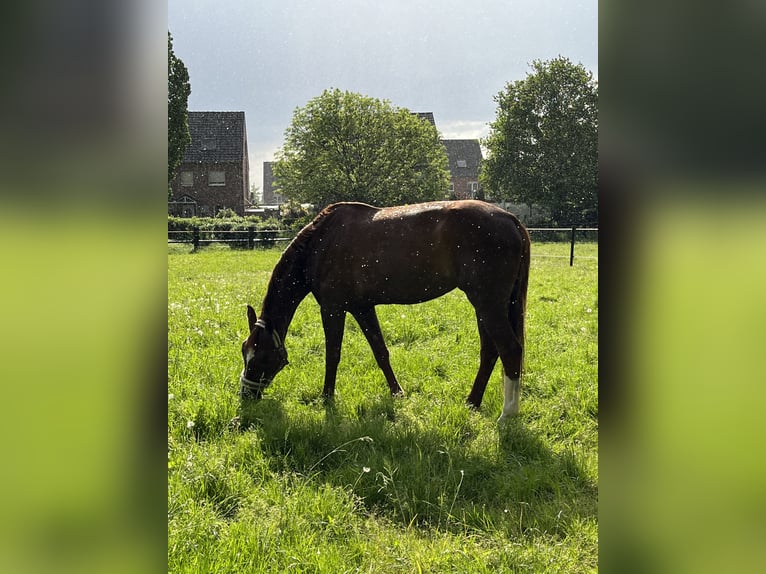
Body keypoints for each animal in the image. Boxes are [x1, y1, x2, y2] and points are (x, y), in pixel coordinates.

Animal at [240, 199, 530, 423]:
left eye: (258, 358)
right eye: (245, 352)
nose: (245, 396)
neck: (320, 243)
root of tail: (511, 219)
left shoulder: (333, 309)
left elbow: (332, 355)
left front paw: (327, 398)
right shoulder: (362, 308)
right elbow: (380, 352)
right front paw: (397, 393)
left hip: (488, 304)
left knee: (509, 349)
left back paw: (508, 414)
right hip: (486, 306)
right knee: (490, 352)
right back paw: (472, 402)